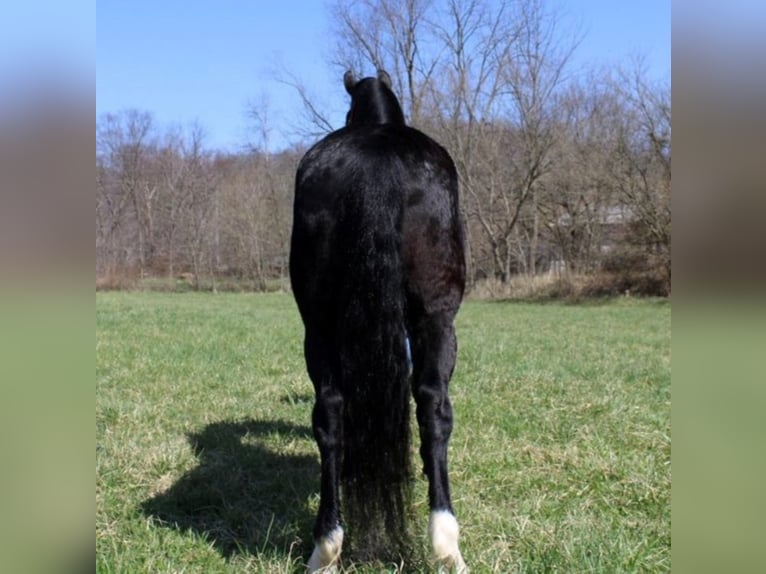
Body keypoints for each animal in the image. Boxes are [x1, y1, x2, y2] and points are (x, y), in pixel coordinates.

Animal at [290, 70, 464, 572]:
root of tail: (378, 156)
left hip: (321, 327)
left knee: (330, 412)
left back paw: (328, 545)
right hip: (437, 320)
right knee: (434, 409)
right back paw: (446, 543)